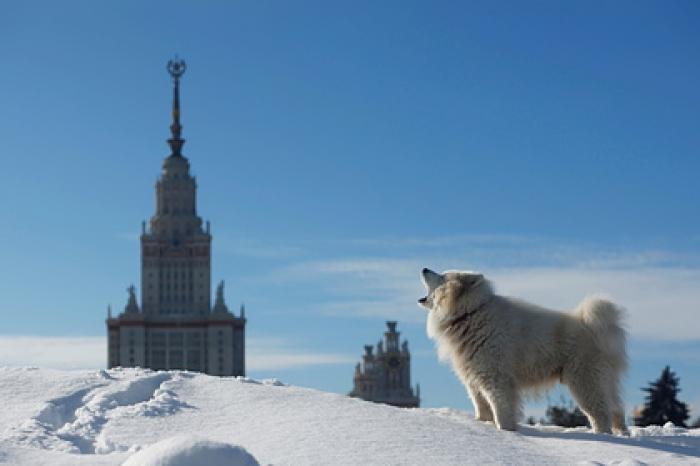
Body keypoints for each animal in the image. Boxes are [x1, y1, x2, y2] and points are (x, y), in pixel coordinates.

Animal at [418, 268, 628, 436]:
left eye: (442, 276)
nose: (424, 268)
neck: (470, 313)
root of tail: (593, 325)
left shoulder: (496, 377)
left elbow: (501, 407)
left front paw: (506, 430)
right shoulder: (474, 378)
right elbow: (481, 407)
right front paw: (483, 424)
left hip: (584, 381)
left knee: (601, 413)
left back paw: (603, 436)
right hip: (604, 381)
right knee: (616, 409)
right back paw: (622, 433)